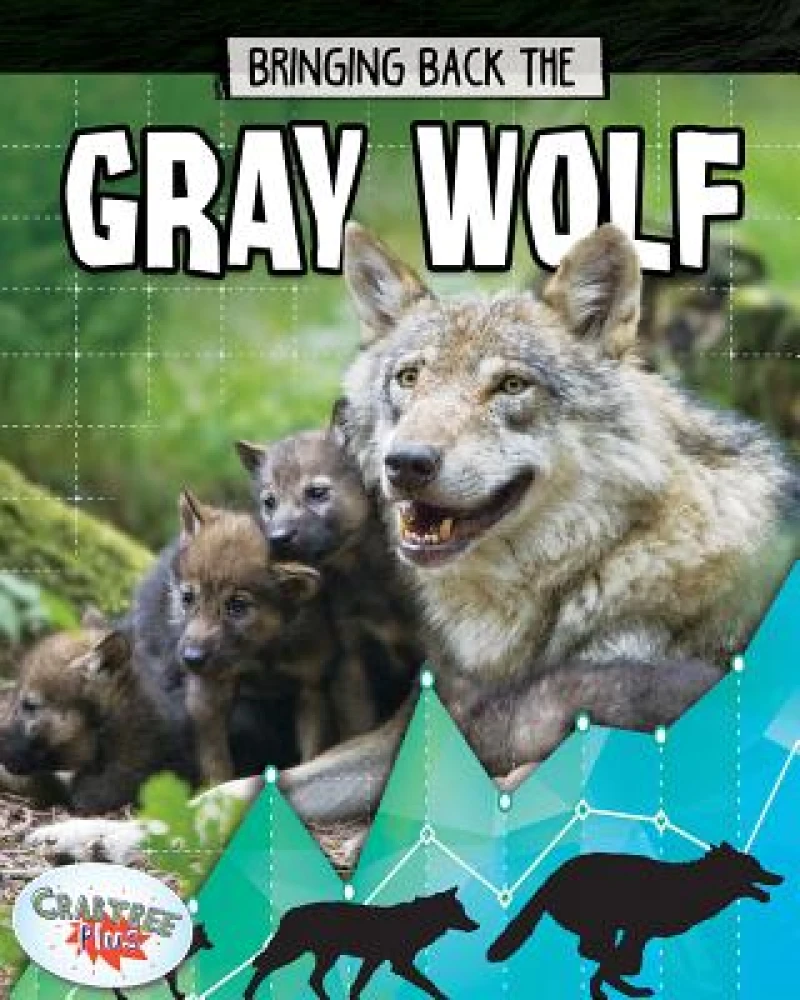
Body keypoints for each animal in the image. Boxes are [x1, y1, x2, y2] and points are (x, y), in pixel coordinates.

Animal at [236, 420, 422, 734]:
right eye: (269, 502)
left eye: (317, 492)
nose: (278, 538)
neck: (365, 572)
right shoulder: (350, 660)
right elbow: (358, 727)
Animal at [243, 886, 478, 1000]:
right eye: (460, 911)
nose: (476, 925)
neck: (417, 920)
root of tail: (288, 913)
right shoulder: (399, 964)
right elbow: (429, 984)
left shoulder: (374, 960)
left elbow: (357, 986)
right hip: (293, 952)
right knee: (264, 967)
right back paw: (248, 995)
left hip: (326, 957)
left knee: (313, 980)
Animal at [487, 843, 783, 999]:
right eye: (754, 867)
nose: (780, 877)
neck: (695, 886)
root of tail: (551, 879)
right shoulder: (638, 928)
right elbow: (627, 961)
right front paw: (614, 977)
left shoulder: (640, 933)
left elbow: (626, 961)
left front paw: (611, 981)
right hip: (601, 923)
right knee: (590, 950)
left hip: (603, 927)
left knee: (589, 950)